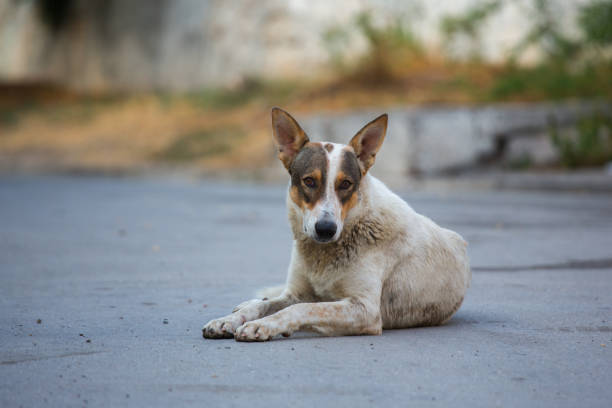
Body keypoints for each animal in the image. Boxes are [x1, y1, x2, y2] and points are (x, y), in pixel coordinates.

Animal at [203, 107, 470, 342]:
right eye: (309, 181)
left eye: (346, 184)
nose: (325, 229)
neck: (322, 256)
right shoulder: (296, 293)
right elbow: (265, 307)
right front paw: (227, 320)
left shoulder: (365, 309)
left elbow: (302, 309)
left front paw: (264, 326)